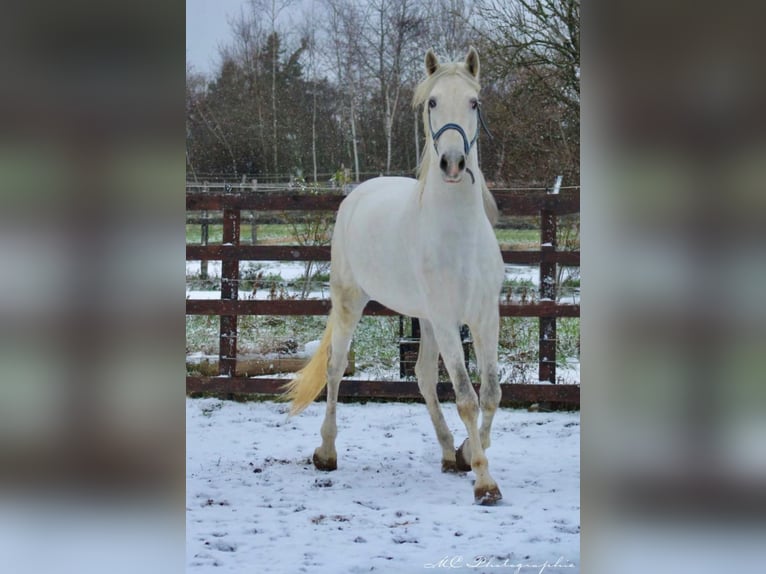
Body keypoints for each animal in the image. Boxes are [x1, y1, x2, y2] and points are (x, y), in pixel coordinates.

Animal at [284, 49, 508, 508]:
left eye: (474, 102)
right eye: (432, 102)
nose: (453, 163)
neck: (458, 234)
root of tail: (357, 194)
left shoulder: (483, 317)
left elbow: (491, 393)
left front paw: (467, 452)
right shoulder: (447, 320)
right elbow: (466, 397)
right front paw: (484, 482)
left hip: (423, 319)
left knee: (422, 376)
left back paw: (448, 452)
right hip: (351, 302)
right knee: (335, 367)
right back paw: (326, 452)